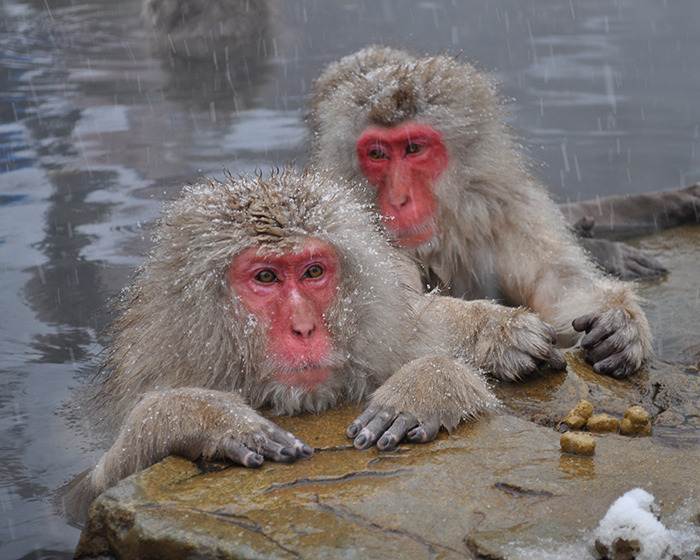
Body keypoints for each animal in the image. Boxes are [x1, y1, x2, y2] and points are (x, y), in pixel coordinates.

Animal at [62, 167, 566, 521]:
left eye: (313, 272)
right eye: (266, 277)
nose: (304, 327)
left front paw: (438, 376)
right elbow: (81, 494)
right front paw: (201, 417)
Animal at [308, 45, 655, 380]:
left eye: (414, 148)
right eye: (377, 154)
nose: (398, 198)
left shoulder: (504, 210)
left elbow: (555, 280)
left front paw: (619, 320)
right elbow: (387, 321)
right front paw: (497, 330)